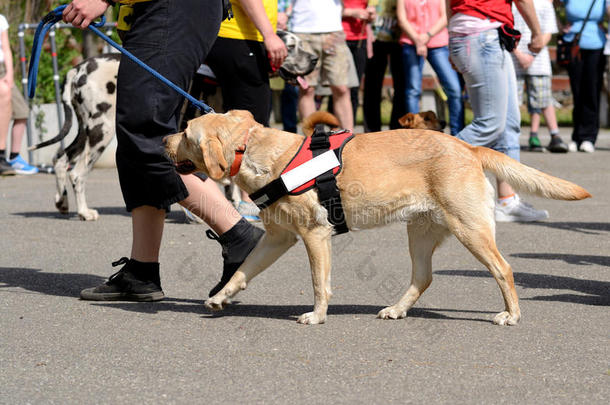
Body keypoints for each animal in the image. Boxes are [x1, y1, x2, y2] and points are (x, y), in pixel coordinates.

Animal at [31, 30, 318, 221]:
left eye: (301, 44)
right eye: (291, 46)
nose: (314, 59)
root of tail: (78, 68)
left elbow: (231, 179)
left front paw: (233, 201)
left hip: (86, 131)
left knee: (60, 159)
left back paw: (62, 203)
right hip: (101, 131)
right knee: (77, 172)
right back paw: (83, 211)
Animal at [163, 109, 588, 326]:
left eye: (185, 131)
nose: (163, 140)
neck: (255, 152)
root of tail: (466, 146)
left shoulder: (314, 235)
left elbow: (319, 284)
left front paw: (317, 316)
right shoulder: (278, 238)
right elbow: (242, 271)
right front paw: (221, 297)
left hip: (470, 229)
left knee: (504, 269)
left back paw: (511, 315)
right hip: (420, 233)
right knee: (423, 277)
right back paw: (398, 309)